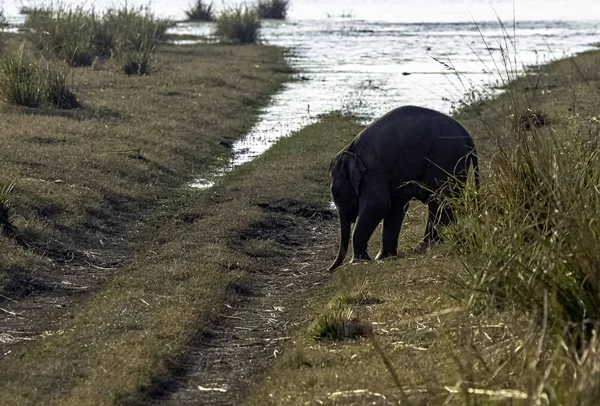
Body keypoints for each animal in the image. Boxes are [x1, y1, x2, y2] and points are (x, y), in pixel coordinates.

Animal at [328, 104, 478, 272]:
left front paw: (358, 262)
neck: (350, 149)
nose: (329, 269)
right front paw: (383, 258)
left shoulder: (374, 171)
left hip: (446, 160)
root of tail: (469, 138)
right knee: (443, 202)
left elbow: (378, 205)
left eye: (336, 193)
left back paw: (428, 247)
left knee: (441, 201)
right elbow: (394, 209)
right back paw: (431, 246)